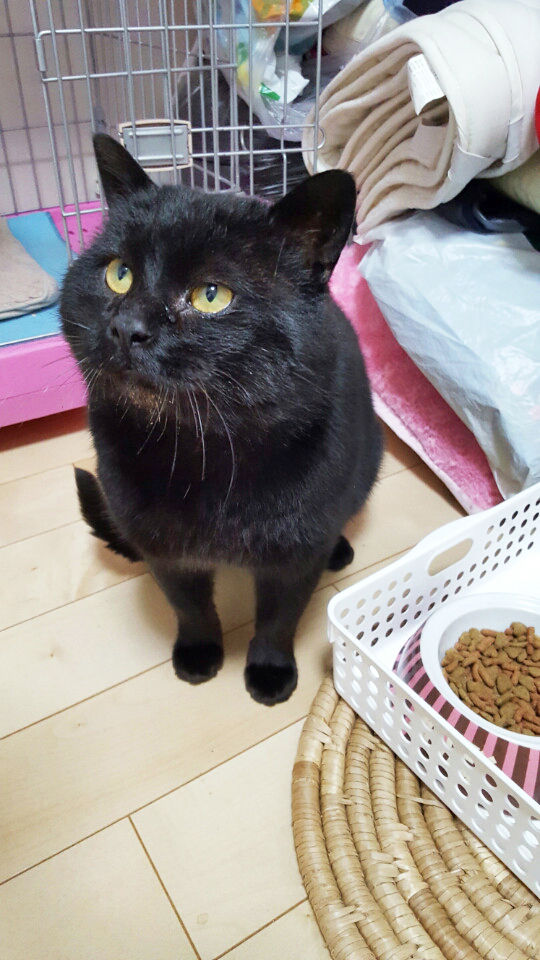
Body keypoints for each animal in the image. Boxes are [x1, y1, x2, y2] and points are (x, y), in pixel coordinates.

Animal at [61, 133, 382, 706]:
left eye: (212, 295)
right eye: (118, 273)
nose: (126, 327)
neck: (202, 454)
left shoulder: (293, 557)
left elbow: (278, 619)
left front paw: (270, 675)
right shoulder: (164, 550)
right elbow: (190, 607)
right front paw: (198, 655)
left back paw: (340, 550)